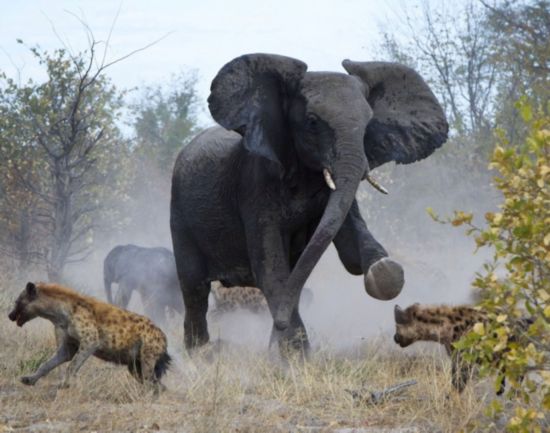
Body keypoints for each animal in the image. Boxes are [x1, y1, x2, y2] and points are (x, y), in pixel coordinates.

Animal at [171, 53, 448, 352]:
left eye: (368, 124)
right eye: (313, 122)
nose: (278, 325)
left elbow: (351, 251)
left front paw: (385, 270)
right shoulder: (254, 183)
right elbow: (270, 268)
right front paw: (293, 354)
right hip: (179, 213)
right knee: (194, 288)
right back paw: (199, 353)